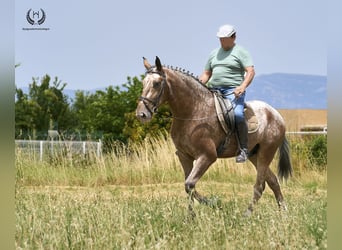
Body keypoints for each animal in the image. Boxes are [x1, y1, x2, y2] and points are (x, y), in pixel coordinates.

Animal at [136, 56, 292, 215]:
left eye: (156, 84)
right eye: (144, 83)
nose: (141, 114)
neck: (193, 111)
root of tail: (276, 114)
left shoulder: (207, 156)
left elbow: (189, 184)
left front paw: (214, 203)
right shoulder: (184, 156)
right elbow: (188, 187)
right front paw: (191, 216)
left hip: (266, 153)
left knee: (259, 186)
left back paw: (247, 214)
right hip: (255, 154)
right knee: (273, 181)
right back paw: (284, 213)